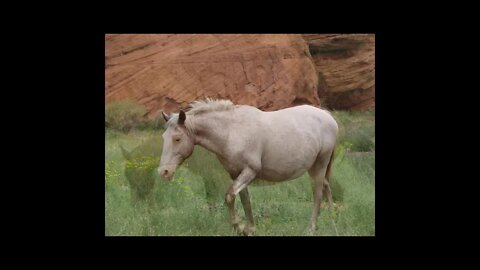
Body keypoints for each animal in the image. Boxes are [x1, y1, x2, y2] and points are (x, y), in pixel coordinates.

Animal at [158, 98, 338, 234]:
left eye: (177, 138)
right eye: (164, 137)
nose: (164, 172)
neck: (232, 132)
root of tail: (327, 116)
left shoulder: (250, 171)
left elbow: (230, 196)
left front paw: (238, 227)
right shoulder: (237, 174)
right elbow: (245, 201)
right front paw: (250, 229)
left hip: (320, 165)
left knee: (317, 194)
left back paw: (311, 227)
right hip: (315, 168)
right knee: (326, 188)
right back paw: (330, 218)